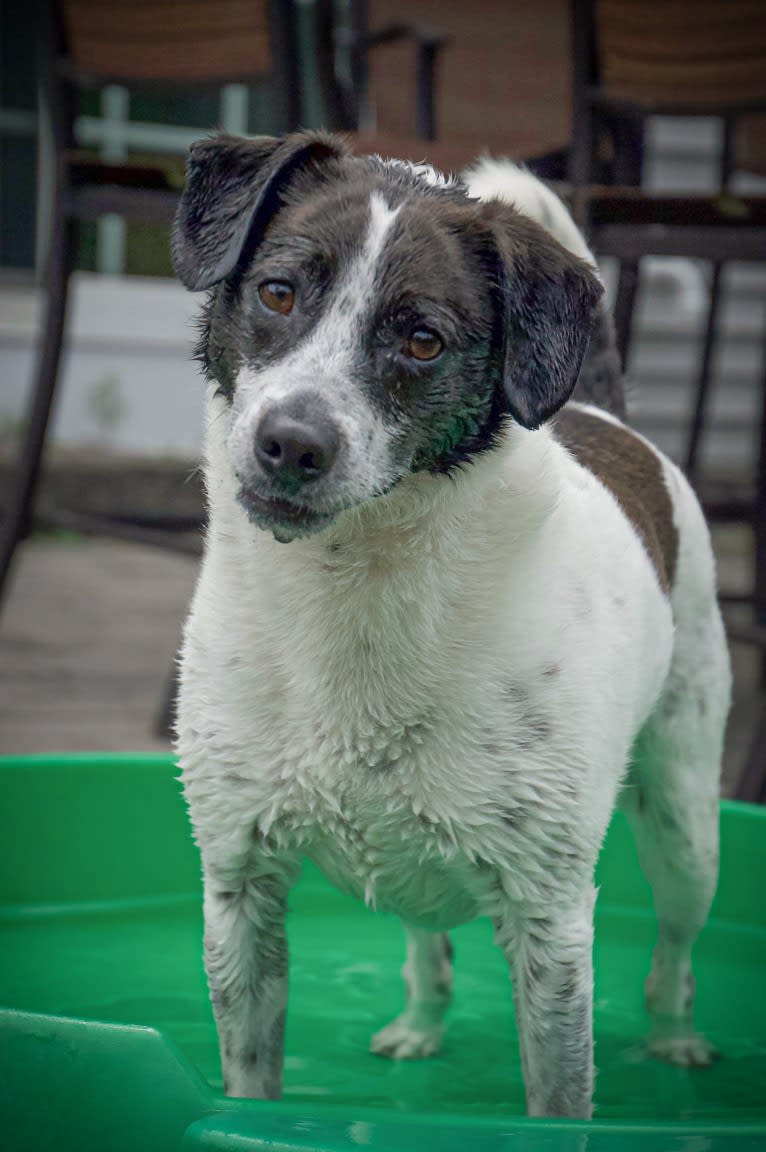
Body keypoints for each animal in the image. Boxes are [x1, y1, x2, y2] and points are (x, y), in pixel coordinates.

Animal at [171, 132, 727, 1115]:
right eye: (277, 292)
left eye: (422, 340)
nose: (292, 444)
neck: (354, 592)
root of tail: (604, 413)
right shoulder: (240, 885)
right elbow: (250, 1078)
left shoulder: (551, 919)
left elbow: (560, 1096)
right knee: (425, 948)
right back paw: (419, 1028)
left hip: (686, 823)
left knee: (673, 953)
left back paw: (675, 1039)